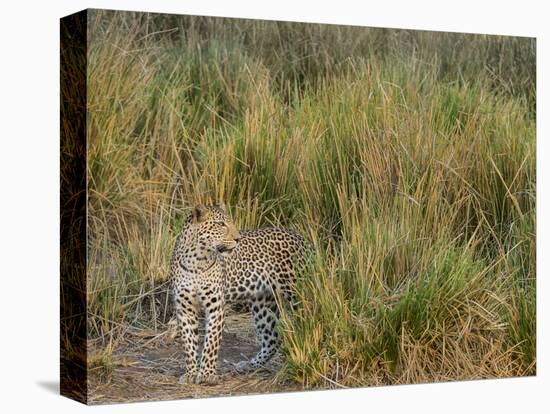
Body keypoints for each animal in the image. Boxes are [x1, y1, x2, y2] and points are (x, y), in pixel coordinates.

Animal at [169, 204, 310, 384]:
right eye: (221, 224)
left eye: (231, 222)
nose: (238, 239)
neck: (197, 261)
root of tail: (302, 238)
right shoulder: (185, 308)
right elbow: (188, 344)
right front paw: (191, 374)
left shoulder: (215, 306)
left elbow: (211, 342)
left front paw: (207, 375)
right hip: (263, 302)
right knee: (273, 338)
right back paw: (250, 365)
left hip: (297, 291)